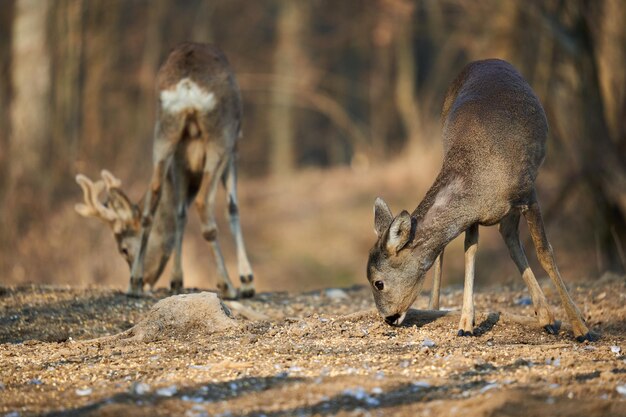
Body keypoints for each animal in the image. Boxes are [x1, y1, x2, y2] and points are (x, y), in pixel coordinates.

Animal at [75, 42, 254, 298]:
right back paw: (228, 285)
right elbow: (232, 207)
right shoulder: (234, 148)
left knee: (154, 197)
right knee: (203, 202)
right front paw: (247, 280)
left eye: (123, 249)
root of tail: (187, 85)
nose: (148, 279)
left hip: (164, 132)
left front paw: (176, 280)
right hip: (220, 135)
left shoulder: (180, 159)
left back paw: (134, 284)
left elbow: (179, 211)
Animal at [368, 58, 596, 342]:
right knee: (506, 236)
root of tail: (486, 60)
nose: (388, 318)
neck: (479, 177)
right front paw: (466, 323)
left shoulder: (528, 193)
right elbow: (470, 253)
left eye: (378, 282)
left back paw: (557, 317)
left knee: (511, 238)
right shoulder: (473, 216)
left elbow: (545, 252)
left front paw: (581, 328)